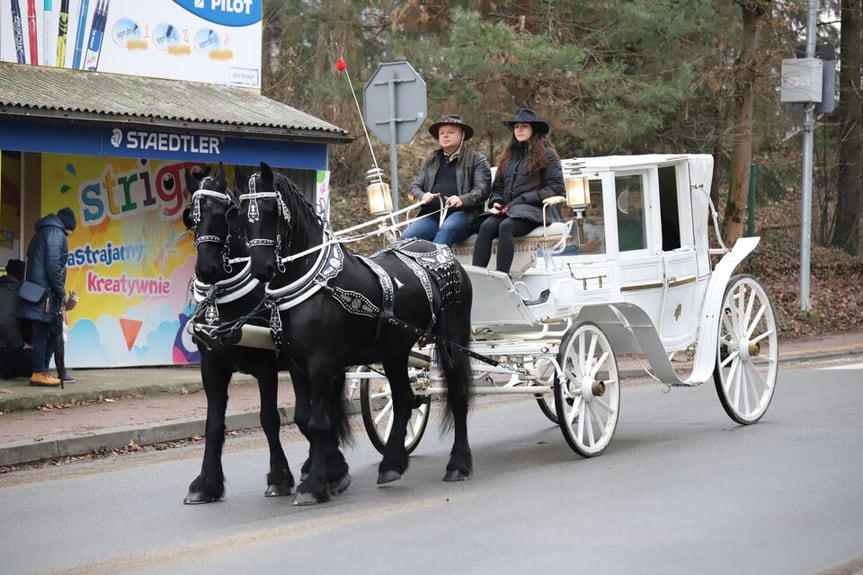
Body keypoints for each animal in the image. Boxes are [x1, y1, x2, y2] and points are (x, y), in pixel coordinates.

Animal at [180, 163, 296, 504]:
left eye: (227, 212)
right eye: (191, 216)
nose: (205, 269)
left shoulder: (266, 367)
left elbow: (269, 419)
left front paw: (279, 478)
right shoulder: (213, 367)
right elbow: (213, 424)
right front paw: (206, 484)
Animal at [236, 161, 476, 504]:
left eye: (271, 210)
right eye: (241, 214)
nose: (261, 268)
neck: (315, 283)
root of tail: (441, 249)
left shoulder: (322, 363)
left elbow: (320, 421)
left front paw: (314, 484)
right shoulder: (297, 365)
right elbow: (304, 418)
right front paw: (332, 474)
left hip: (453, 338)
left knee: (457, 393)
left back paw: (458, 464)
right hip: (395, 350)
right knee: (404, 398)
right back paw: (392, 464)